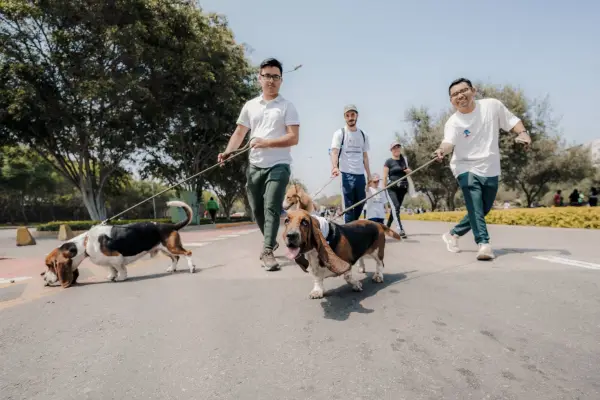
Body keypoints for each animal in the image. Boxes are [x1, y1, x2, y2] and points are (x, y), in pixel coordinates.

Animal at [42, 202, 197, 286]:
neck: (85, 243)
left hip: (172, 247)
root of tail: (171, 226)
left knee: (187, 253)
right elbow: (110, 269)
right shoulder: (108, 261)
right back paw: (172, 268)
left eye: (50, 265)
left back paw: (191, 268)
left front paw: (121, 277)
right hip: (166, 249)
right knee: (176, 258)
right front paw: (111, 276)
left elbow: (120, 269)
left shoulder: (116, 258)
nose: (43, 278)